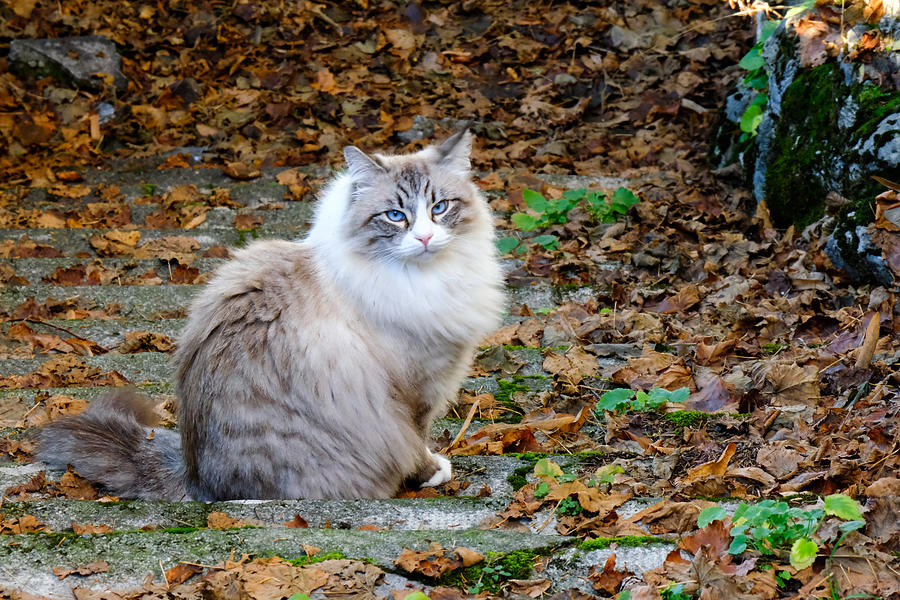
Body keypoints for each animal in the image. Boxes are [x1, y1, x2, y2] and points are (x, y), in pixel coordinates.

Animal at [37, 130, 506, 502]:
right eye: (395, 216)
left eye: (440, 207)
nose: (425, 238)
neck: (426, 279)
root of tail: (196, 478)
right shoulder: (416, 388)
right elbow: (417, 440)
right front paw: (430, 473)